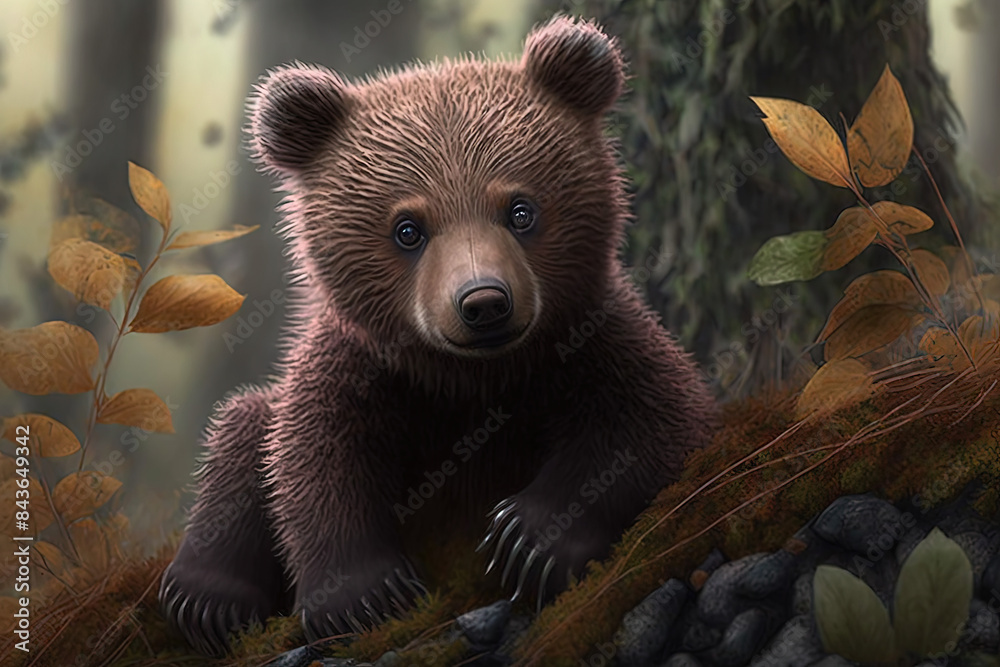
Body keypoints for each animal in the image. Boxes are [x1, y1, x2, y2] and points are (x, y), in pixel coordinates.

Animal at [158, 15, 718, 656]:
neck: (471, 376)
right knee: (243, 424)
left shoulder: (587, 342)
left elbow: (653, 418)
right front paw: (366, 596)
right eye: (408, 229)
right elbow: (313, 456)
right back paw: (206, 596)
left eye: (520, 210)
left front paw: (525, 542)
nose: (483, 302)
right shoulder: (367, 368)